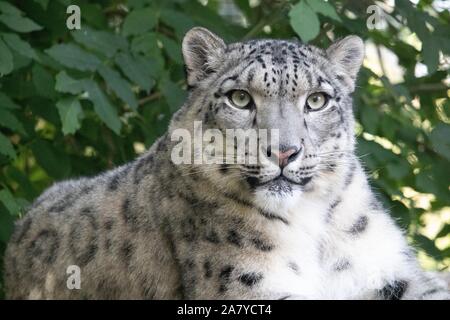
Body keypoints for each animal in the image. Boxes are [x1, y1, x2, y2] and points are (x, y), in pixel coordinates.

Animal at [4, 27, 450, 300]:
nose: (284, 151)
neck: (312, 226)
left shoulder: (388, 271)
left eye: (317, 100)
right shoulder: (246, 285)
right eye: (240, 98)